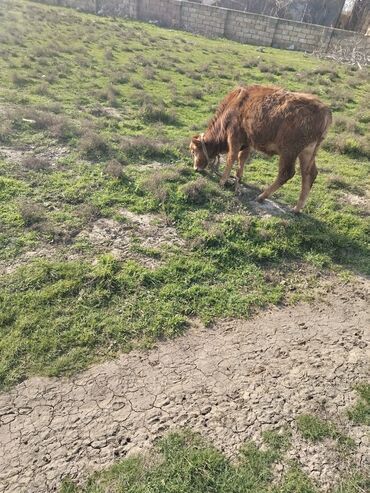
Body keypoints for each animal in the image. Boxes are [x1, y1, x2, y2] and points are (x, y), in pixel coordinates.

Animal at [191, 84, 332, 211]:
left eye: (193, 151)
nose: (195, 168)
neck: (235, 105)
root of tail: (325, 110)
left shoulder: (234, 138)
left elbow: (231, 158)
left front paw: (222, 181)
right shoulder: (247, 142)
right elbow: (242, 158)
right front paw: (238, 178)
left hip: (289, 152)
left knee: (286, 173)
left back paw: (262, 197)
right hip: (306, 153)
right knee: (309, 174)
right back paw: (296, 209)